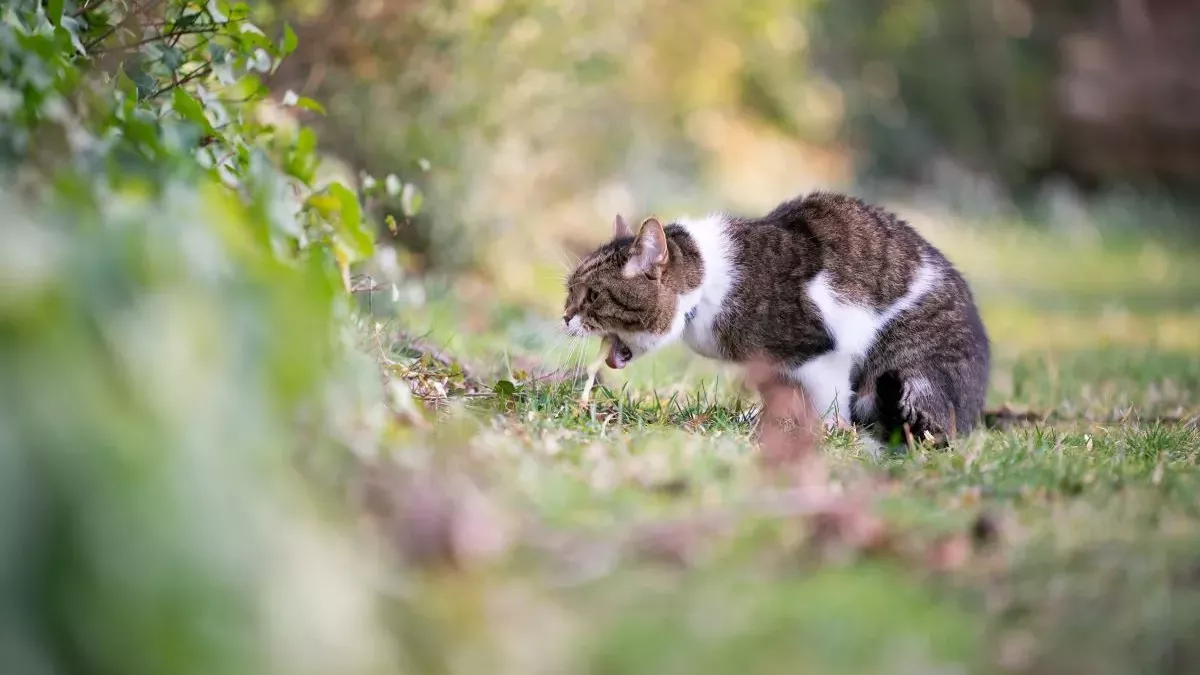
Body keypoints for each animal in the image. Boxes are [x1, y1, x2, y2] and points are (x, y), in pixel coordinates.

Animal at [566, 189, 988, 441]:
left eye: (591, 295)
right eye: (569, 290)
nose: (565, 316)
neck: (708, 284)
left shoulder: (823, 353)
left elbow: (828, 403)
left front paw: (823, 432)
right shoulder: (774, 367)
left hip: (911, 370)